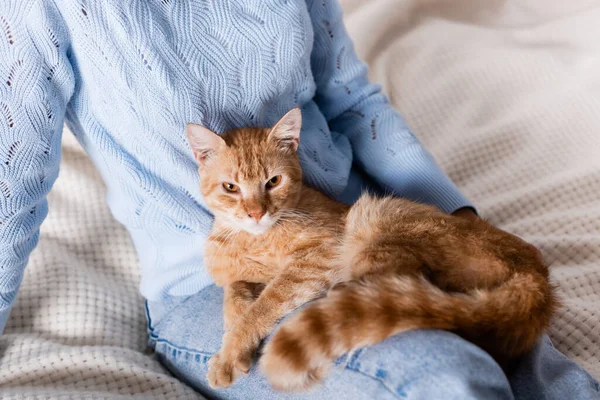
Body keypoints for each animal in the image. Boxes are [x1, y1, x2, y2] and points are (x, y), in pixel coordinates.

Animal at [186, 107, 556, 390]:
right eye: (231, 187)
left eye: (273, 181)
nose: (256, 213)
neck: (253, 238)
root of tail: (537, 274)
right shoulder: (239, 273)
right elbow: (235, 293)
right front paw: (234, 330)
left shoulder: (318, 256)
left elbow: (265, 303)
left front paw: (231, 350)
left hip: (375, 222)